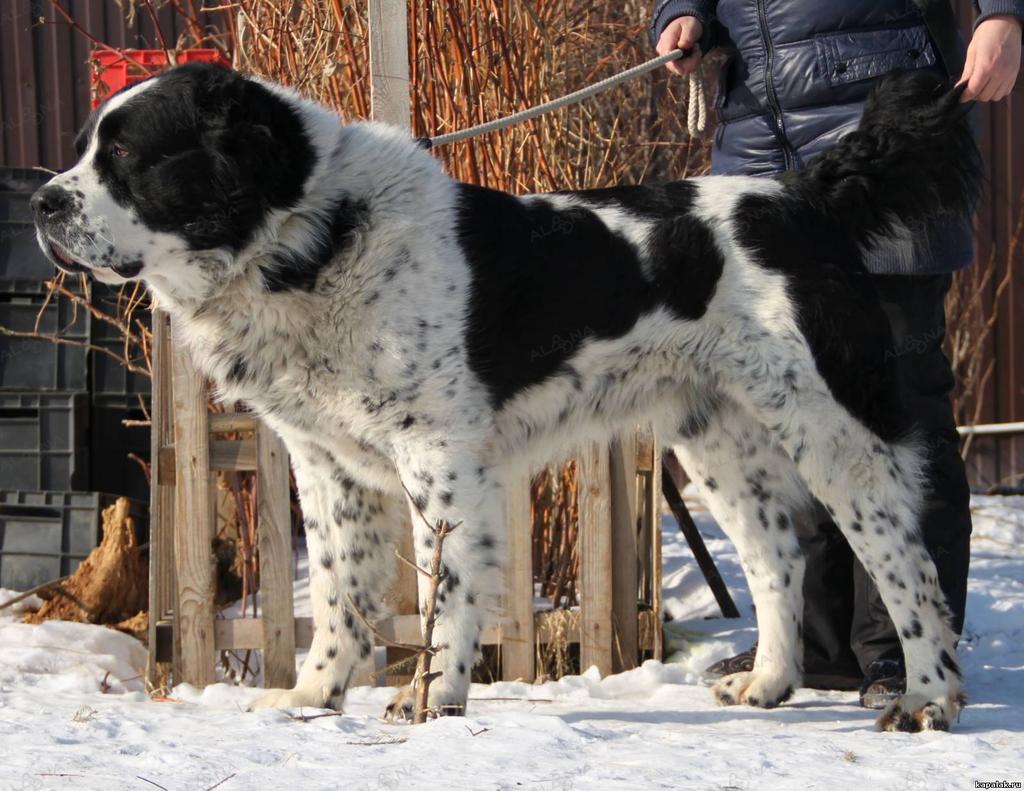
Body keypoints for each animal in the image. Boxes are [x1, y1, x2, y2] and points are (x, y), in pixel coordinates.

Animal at [29, 61, 974, 729]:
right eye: (83, 150)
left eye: (126, 156)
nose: (40, 202)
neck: (308, 237)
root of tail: (803, 196)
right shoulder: (329, 467)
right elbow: (338, 594)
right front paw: (312, 695)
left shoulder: (439, 459)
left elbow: (442, 592)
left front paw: (427, 702)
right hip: (720, 441)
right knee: (780, 557)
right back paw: (769, 684)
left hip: (838, 432)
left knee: (908, 563)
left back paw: (928, 698)